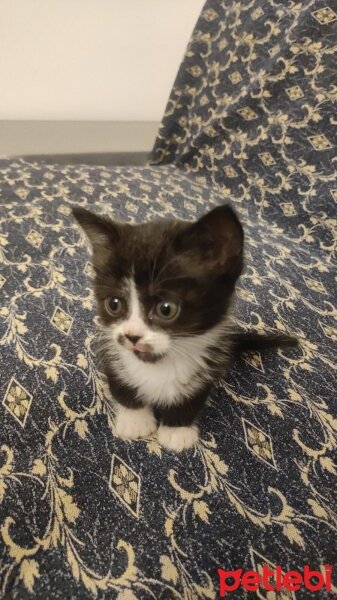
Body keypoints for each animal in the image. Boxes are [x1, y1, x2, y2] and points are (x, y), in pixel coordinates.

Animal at [72, 205, 296, 450]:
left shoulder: (209, 364)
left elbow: (193, 396)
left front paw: (176, 430)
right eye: (114, 304)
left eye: (166, 309)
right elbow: (120, 384)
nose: (132, 336)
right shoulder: (112, 353)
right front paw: (135, 420)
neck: (159, 366)